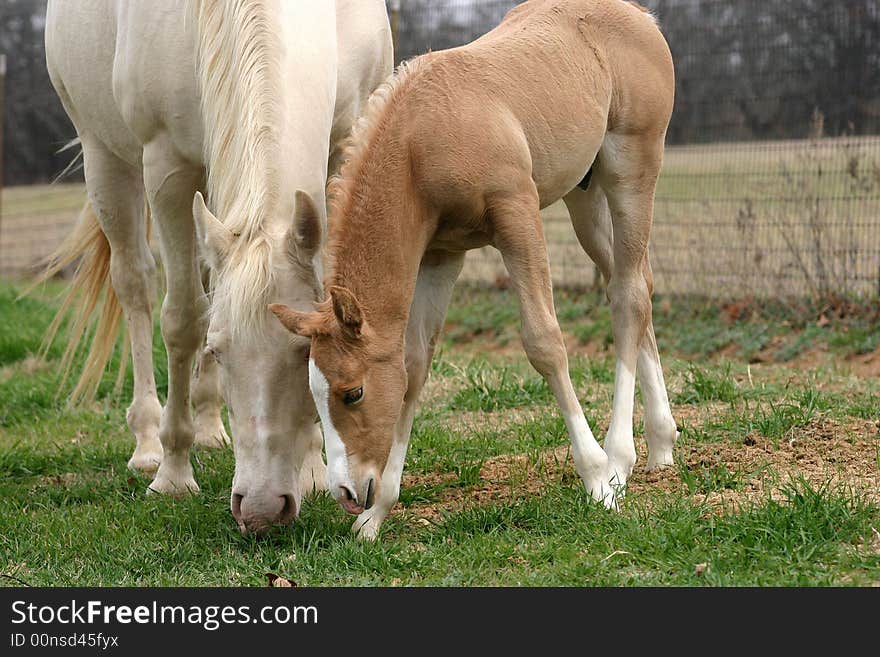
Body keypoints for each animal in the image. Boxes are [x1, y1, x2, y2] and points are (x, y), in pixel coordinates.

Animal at [41, 0, 392, 532]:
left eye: (302, 353)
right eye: (219, 351)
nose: (263, 509)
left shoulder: (341, 147)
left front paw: (312, 468)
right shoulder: (167, 168)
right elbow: (183, 320)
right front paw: (172, 474)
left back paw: (209, 425)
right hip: (105, 158)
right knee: (136, 284)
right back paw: (148, 441)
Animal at [272, 0, 676, 540]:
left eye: (352, 392)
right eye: (313, 392)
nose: (348, 493)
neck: (421, 142)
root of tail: (639, 17)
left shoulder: (517, 215)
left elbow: (544, 343)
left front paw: (594, 479)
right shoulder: (442, 254)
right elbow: (414, 366)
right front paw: (377, 517)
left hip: (632, 166)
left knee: (630, 292)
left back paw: (618, 460)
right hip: (583, 196)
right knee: (630, 285)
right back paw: (661, 443)